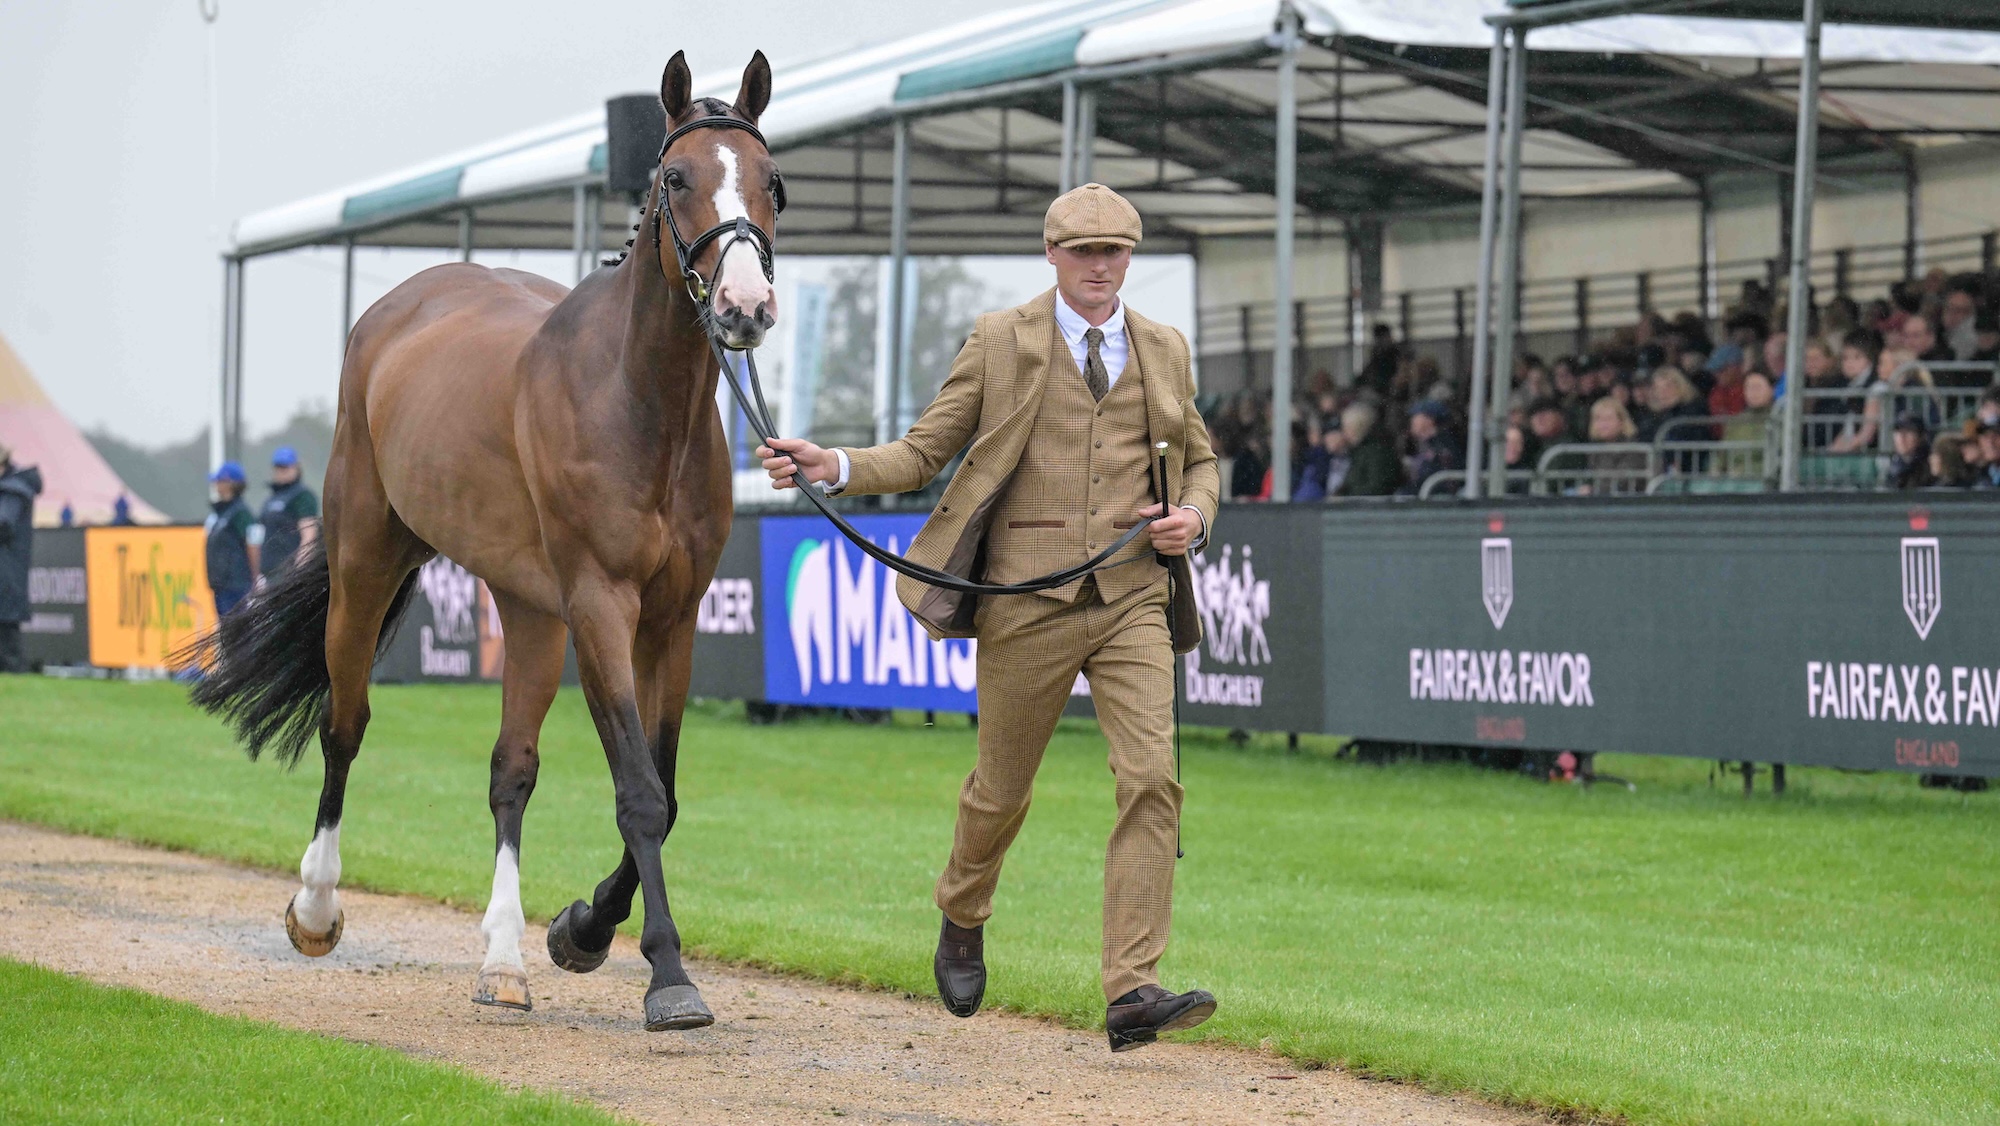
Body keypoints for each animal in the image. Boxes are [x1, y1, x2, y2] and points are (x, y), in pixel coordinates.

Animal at [187, 50, 781, 1031]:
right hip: (366, 563)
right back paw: (316, 906)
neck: (640, 409)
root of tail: (404, 302)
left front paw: (581, 928)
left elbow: (661, 789)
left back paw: (504, 960)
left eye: (772, 180)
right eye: (675, 179)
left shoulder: (671, 617)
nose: (743, 305)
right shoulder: (600, 607)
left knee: (512, 770)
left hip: (529, 611)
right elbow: (639, 792)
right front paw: (666, 974)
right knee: (344, 725)